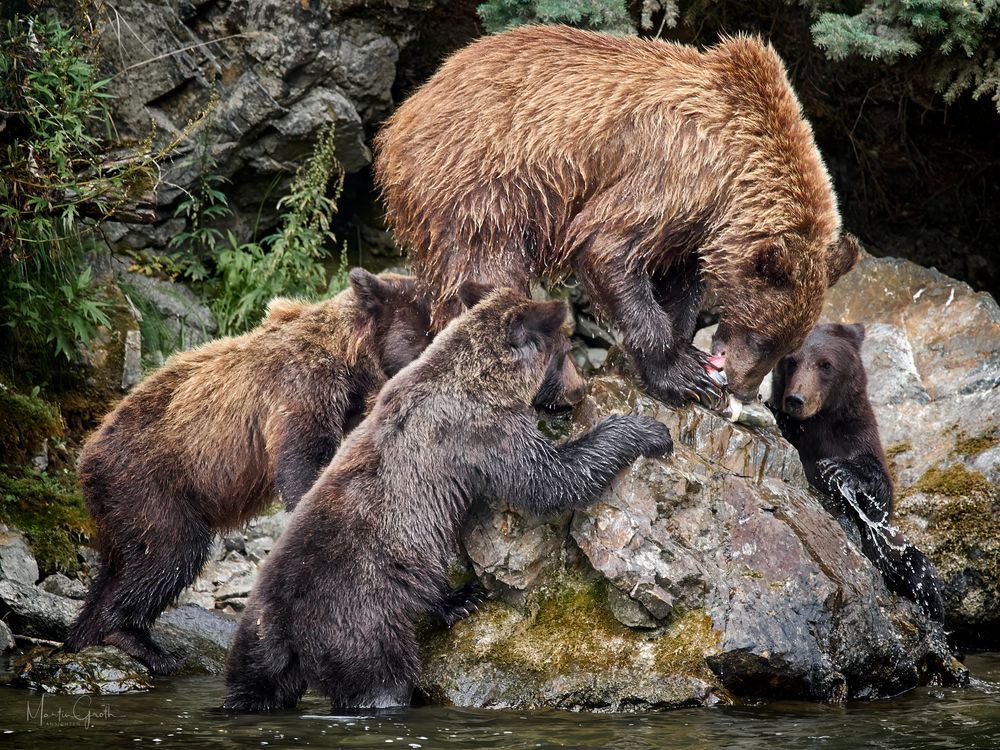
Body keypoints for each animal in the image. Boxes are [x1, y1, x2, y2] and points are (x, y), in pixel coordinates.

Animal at [63, 270, 434, 676]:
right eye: (426, 331)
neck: (351, 361)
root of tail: (86, 457)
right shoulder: (302, 390)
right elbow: (305, 466)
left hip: (117, 508)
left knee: (117, 567)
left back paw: (83, 634)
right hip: (149, 485)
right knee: (168, 553)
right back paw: (140, 642)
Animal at [221, 286, 672, 712]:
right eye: (563, 355)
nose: (580, 390)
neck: (476, 375)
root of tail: (287, 625)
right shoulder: (482, 432)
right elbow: (550, 479)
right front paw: (646, 431)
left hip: (256, 635)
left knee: (253, 683)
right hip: (360, 620)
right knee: (380, 679)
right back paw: (455, 607)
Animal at [376, 25, 860, 406]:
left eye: (788, 346)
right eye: (763, 337)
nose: (742, 388)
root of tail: (408, 109)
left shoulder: (697, 226)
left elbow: (679, 282)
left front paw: (688, 352)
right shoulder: (676, 170)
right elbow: (607, 246)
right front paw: (683, 375)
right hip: (484, 182)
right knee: (485, 271)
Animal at [768, 324, 940, 624]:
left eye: (826, 364)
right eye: (791, 360)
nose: (796, 399)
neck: (817, 425)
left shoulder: (858, 435)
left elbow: (880, 497)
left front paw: (839, 470)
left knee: (918, 568)